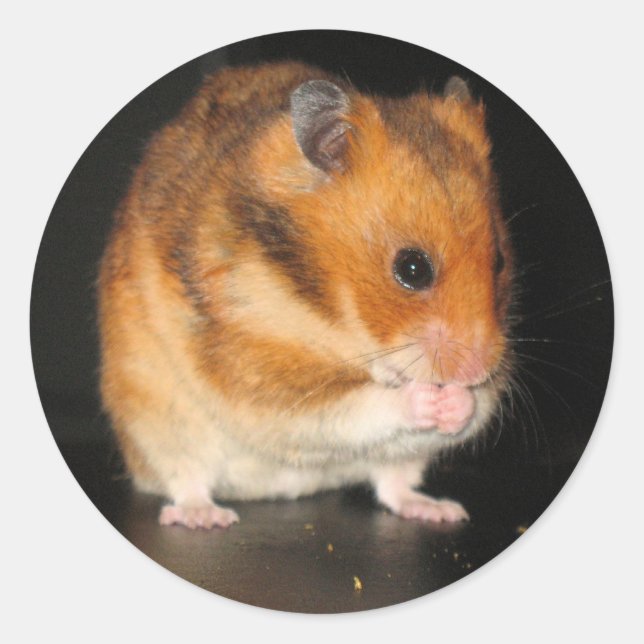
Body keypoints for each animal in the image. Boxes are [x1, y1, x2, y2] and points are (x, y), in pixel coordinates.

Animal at [98, 61, 513, 529]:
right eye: (412, 268)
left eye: (499, 260)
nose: (476, 371)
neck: (328, 312)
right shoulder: (263, 375)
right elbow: (361, 404)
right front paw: (429, 397)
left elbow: (477, 408)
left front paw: (459, 400)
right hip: (159, 422)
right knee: (186, 480)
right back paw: (207, 516)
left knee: (394, 485)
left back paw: (442, 511)